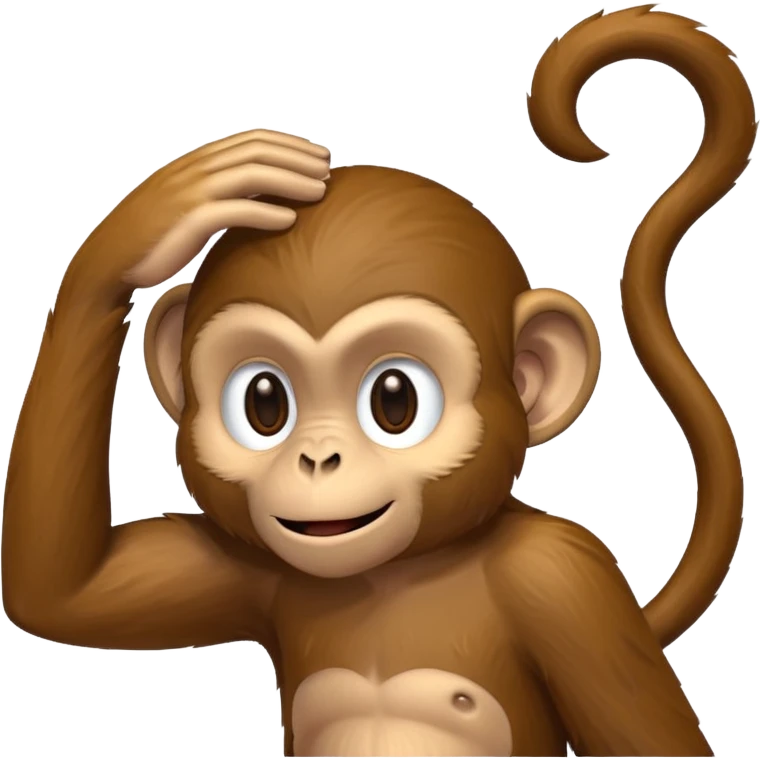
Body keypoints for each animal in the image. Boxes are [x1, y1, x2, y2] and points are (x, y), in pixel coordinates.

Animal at [1, 4, 754, 758]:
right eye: (264, 402)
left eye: (395, 400)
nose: (317, 458)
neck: (395, 576)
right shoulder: (253, 569)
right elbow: (67, 593)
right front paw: (163, 215)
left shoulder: (566, 580)